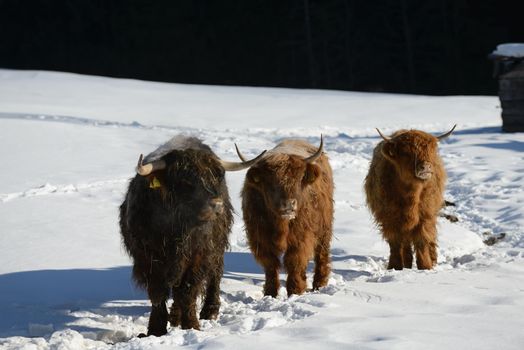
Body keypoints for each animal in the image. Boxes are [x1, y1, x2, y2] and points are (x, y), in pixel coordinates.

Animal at [120, 135, 264, 334]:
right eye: (185, 181)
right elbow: (157, 294)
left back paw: (209, 311)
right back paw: (174, 316)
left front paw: (191, 326)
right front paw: (156, 330)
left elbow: (188, 290)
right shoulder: (147, 259)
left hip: (217, 246)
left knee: (214, 274)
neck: (176, 230)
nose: (217, 205)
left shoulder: (198, 256)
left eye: (216, 177)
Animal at [238, 137, 334, 298]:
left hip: (324, 227)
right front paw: (270, 293)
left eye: (299, 178)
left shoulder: (301, 238)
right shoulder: (260, 238)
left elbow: (294, 261)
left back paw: (319, 285)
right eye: (269, 182)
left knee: (321, 254)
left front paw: (295, 292)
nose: (289, 204)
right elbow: (271, 264)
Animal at [364, 126, 454, 270]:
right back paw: (406, 263)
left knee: (430, 237)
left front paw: (425, 266)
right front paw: (394, 266)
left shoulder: (425, 215)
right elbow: (394, 242)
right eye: (406, 153)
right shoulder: (388, 217)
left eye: (430, 150)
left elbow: (422, 239)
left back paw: (432, 260)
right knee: (405, 241)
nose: (426, 166)